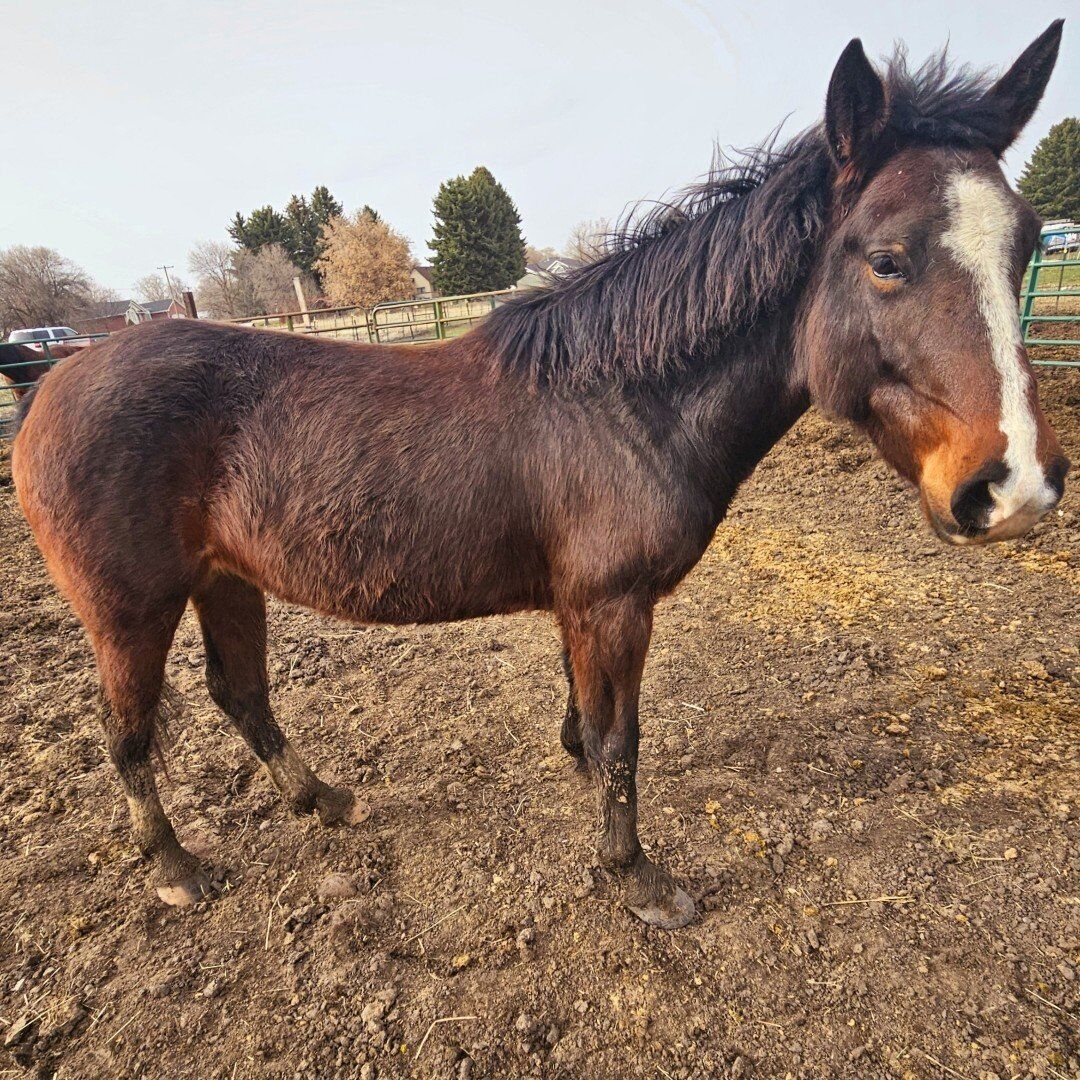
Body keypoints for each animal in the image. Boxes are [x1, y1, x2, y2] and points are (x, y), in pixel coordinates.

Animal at [12, 24, 1069, 925]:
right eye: (886, 259)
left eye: (1027, 244)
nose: (1015, 487)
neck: (622, 402)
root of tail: (54, 380)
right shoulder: (613, 602)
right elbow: (621, 739)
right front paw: (637, 877)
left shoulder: (581, 602)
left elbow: (587, 722)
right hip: (130, 611)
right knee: (127, 733)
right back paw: (176, 868)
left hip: (226, 580)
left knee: (242, 696)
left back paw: (325, 799)